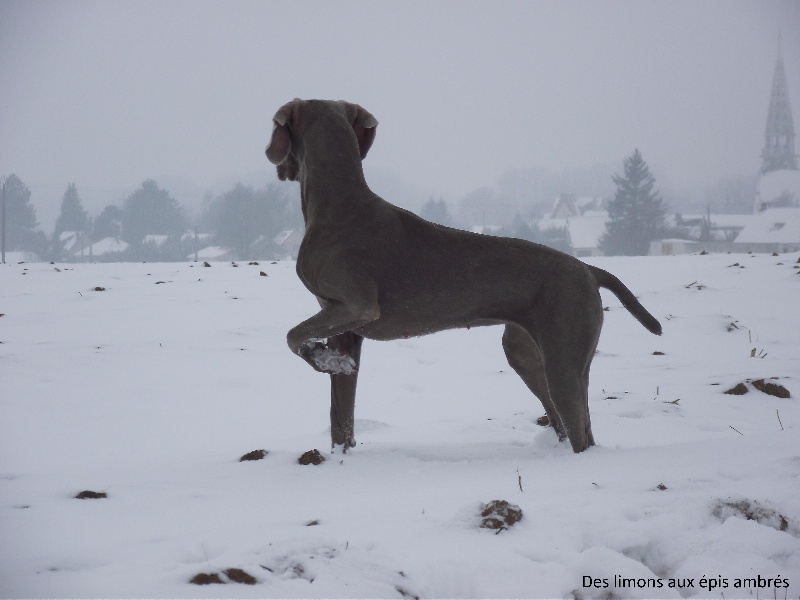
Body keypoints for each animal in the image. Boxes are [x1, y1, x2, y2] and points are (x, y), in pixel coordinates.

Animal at [266, 99, 660, 454]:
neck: (338, 205)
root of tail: (588, 269)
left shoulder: (356, 305)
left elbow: (292, 335)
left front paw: (324, 361)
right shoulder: (345, 328)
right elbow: (340, 413)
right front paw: (339, 453)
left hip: (563, 355)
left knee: (578, 428)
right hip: (527, 353)